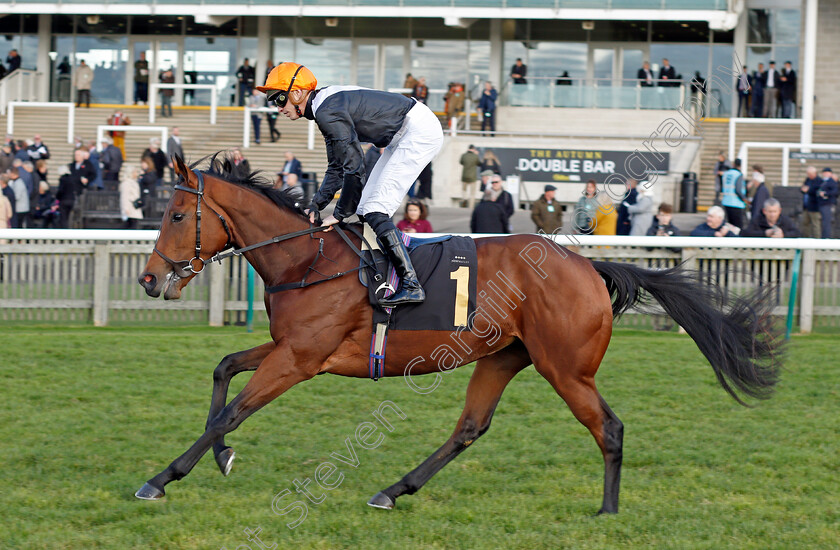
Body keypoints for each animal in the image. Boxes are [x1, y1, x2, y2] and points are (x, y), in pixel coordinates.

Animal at [135, 153, 784, 516]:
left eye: (175, 214)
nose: (147, 278)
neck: (307, 260)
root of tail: (588, 267)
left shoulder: (300, 359)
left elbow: (232, 411)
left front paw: (162, 478)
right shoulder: (290, 348)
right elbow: (224, 369)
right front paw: (221, 458)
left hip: (566, 367)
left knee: (610, 428)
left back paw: (607, 511)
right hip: (503, 357)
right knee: (470, 427)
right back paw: (393, 490)